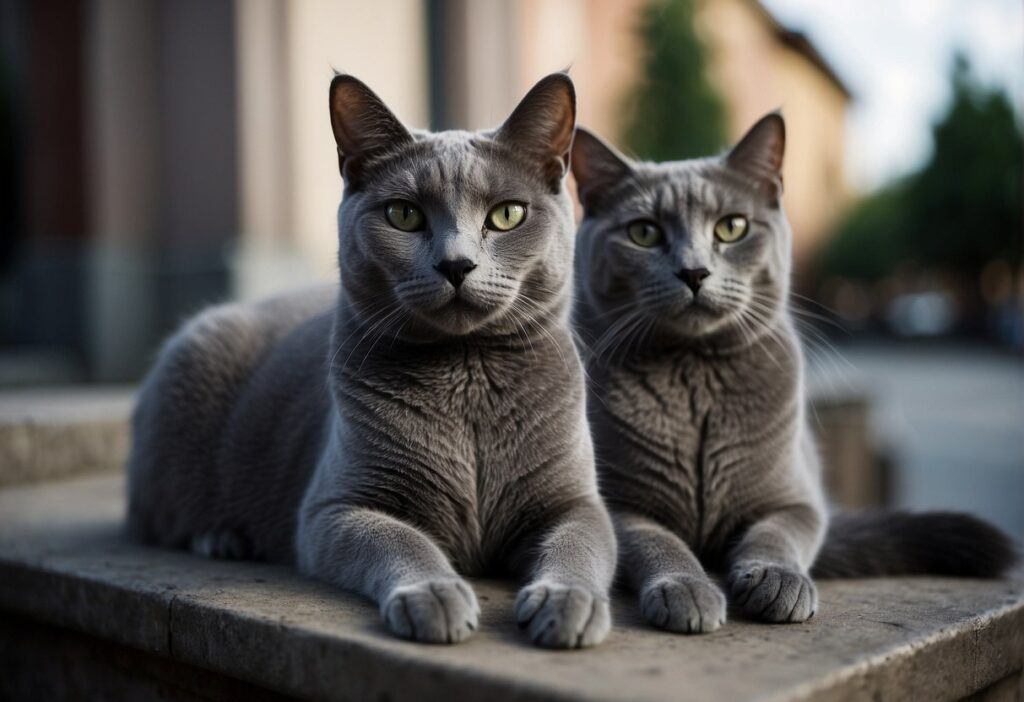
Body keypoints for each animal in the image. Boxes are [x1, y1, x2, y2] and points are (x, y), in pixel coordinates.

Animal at [125, 71, 614, 650]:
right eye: (404, 214)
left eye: (507, 215)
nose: (456, 264)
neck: (466, 378)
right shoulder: (334, 509)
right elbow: (399, 540)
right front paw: (435, 597)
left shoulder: (577, 503)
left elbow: (579, 544)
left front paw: (569, 602)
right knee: (156, 518)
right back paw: (221, 537)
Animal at [569, 114, 1015, 634]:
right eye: (643, 232)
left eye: (733, 227)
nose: (694, 271)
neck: (693, 376)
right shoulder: (617, 505)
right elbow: (658, 543)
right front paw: (688, 590)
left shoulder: (798, 500)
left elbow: (776, 535)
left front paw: (778, 581)